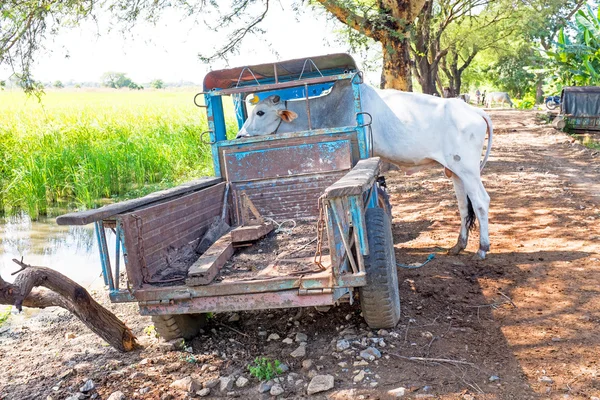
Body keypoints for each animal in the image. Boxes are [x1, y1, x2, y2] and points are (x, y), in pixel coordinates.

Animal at [237, 83, 494, 260]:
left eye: (260, 112)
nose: (239, 136)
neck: (331, 108)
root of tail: (475, 111)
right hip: (456, 171)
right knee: (463, 205)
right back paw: (458, 246)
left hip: (468, 170)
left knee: (481, 201)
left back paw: (482, 248)